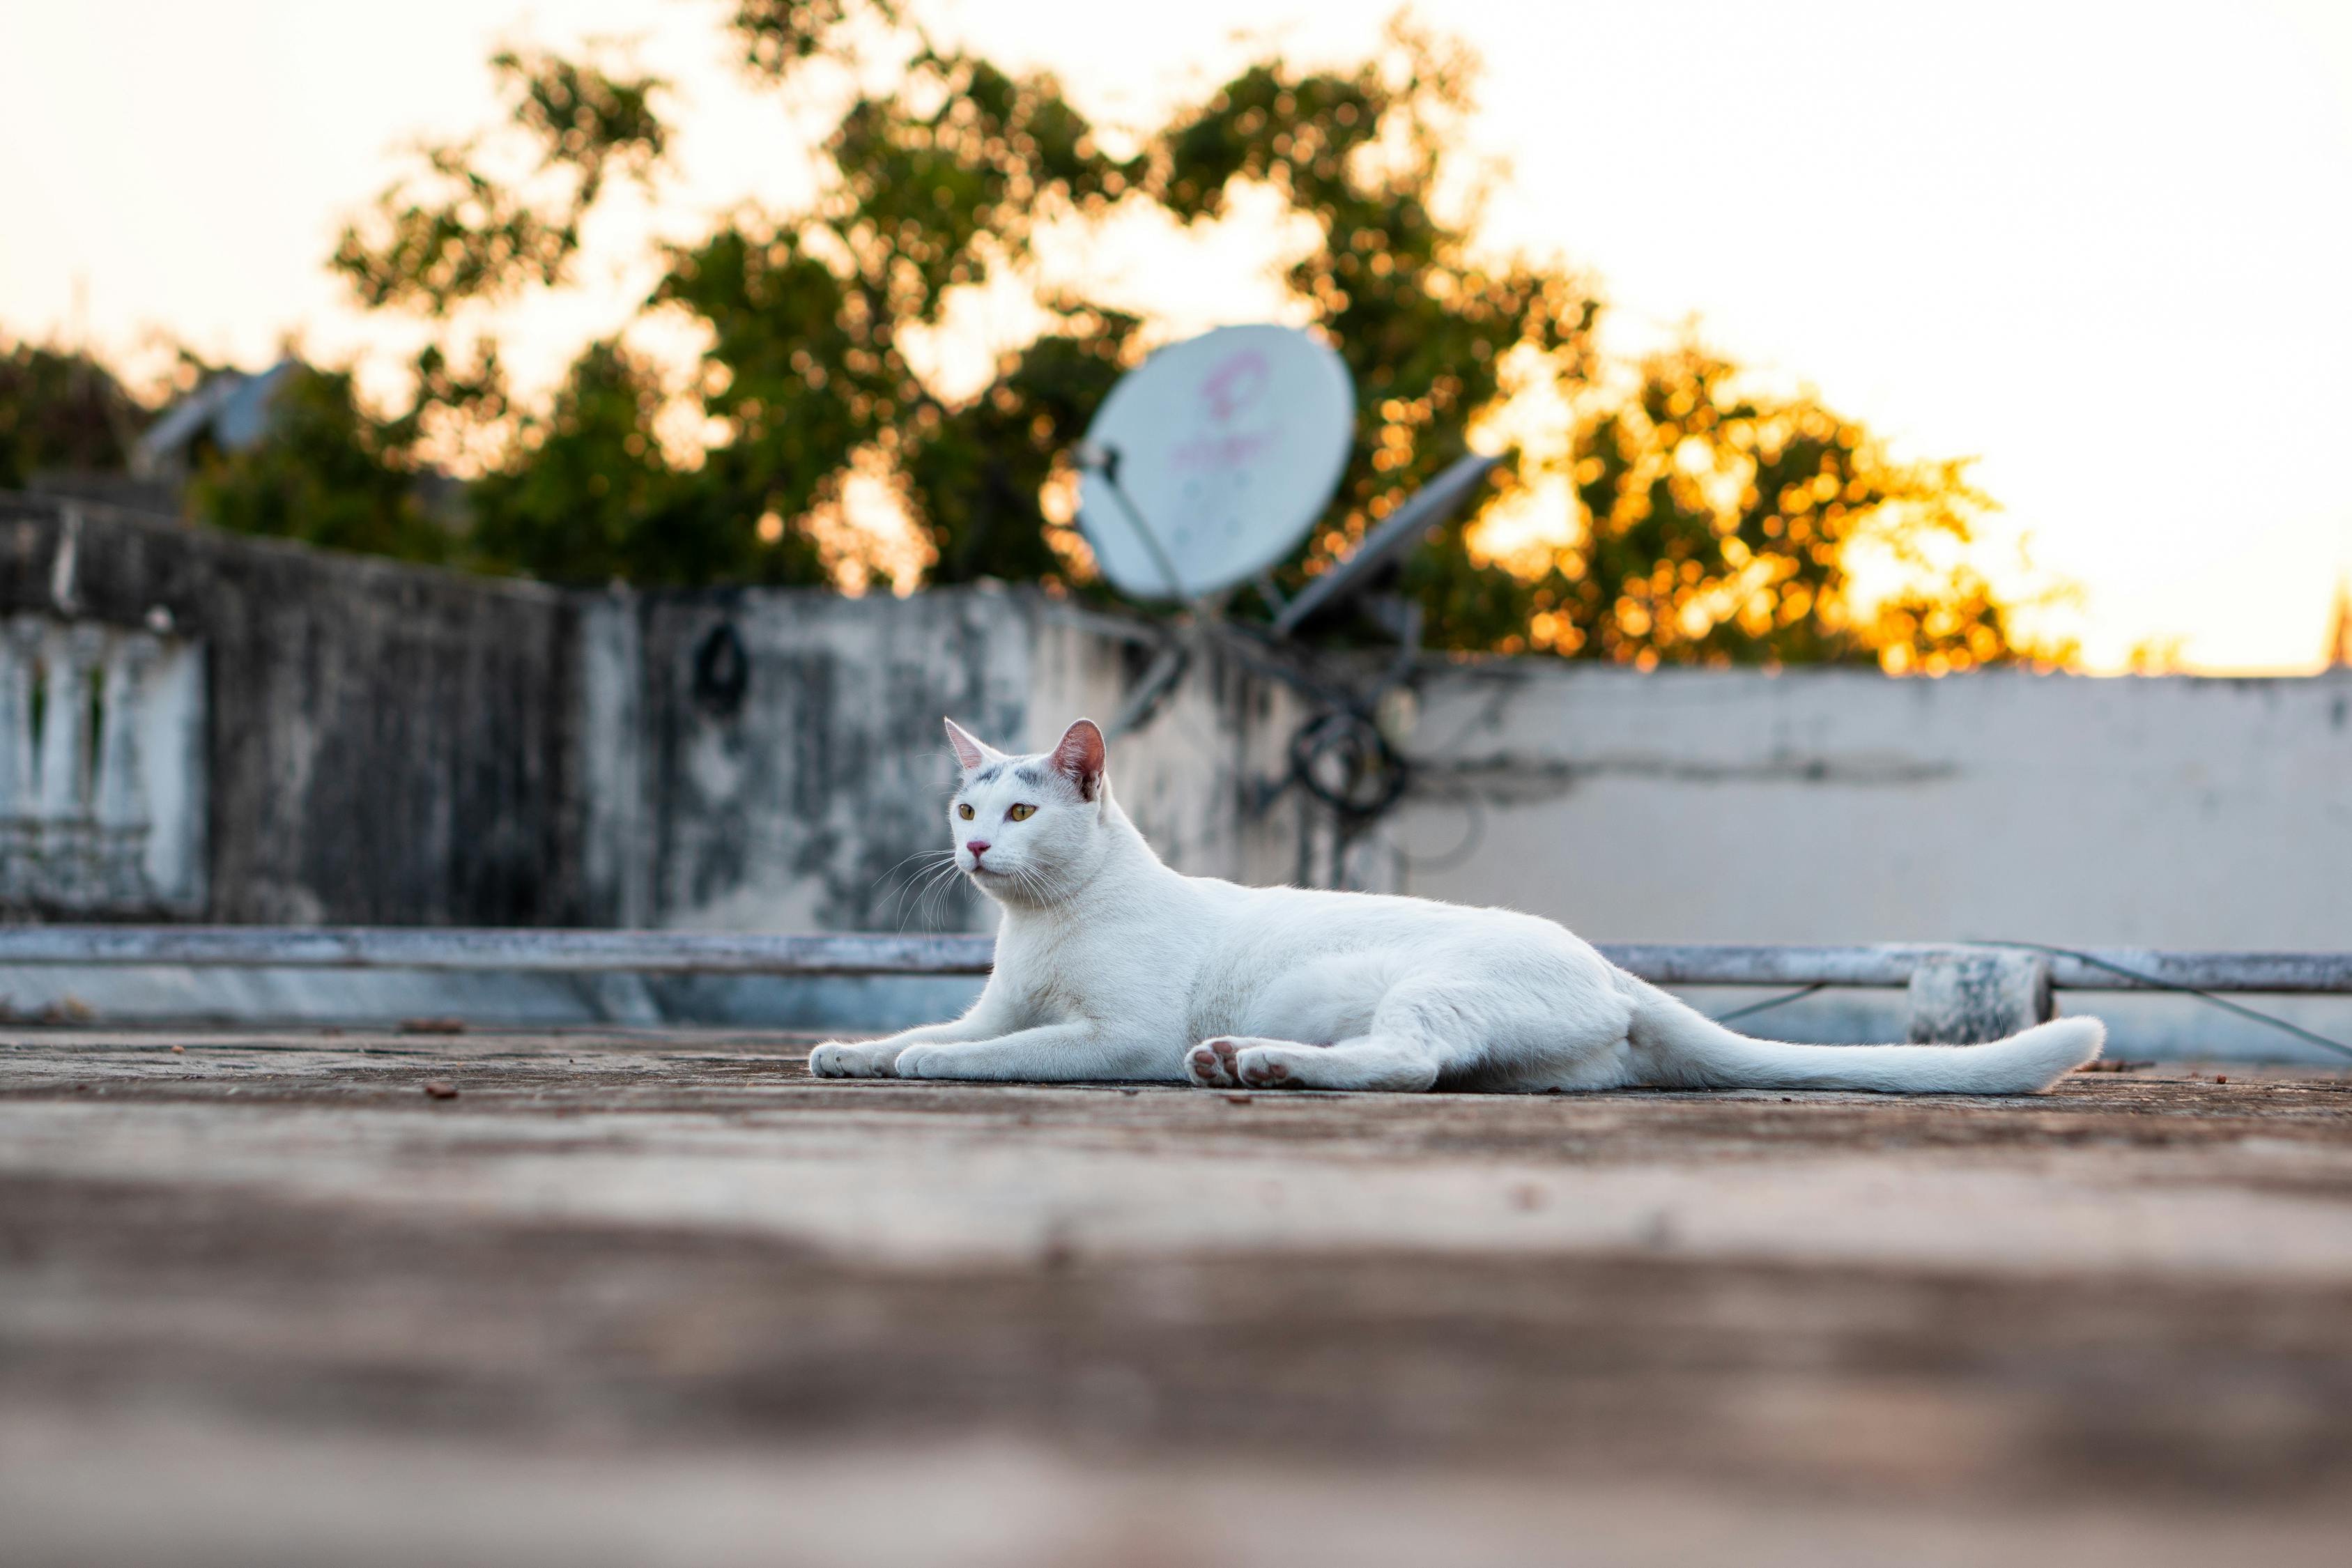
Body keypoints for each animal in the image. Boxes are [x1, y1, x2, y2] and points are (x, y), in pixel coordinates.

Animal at [813, 719, 2116, 1100]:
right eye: (962, 804)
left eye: (1021, 813)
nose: (976, 844)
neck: (1043, 921)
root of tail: (1608, 965)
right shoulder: (998, 1005)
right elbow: (932, 1028)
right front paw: (856, 1049)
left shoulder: (1113, 1035)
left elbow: (1000, 1051)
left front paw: (923, 1065)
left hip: (1427, 990)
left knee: (1409, 1068)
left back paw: (1259, 1060)